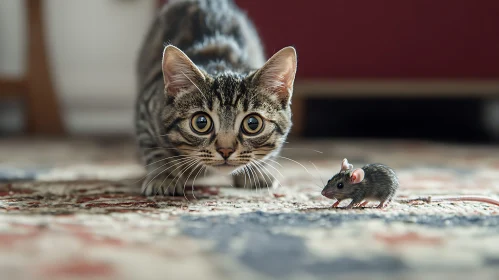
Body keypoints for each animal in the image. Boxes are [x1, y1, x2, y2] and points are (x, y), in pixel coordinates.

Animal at [135, 0, 296, 196]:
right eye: (201, 123)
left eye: (253, 124)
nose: (225, 150)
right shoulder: (146, 111)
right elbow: (154, 149)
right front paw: (163, 176)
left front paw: (256, 173)